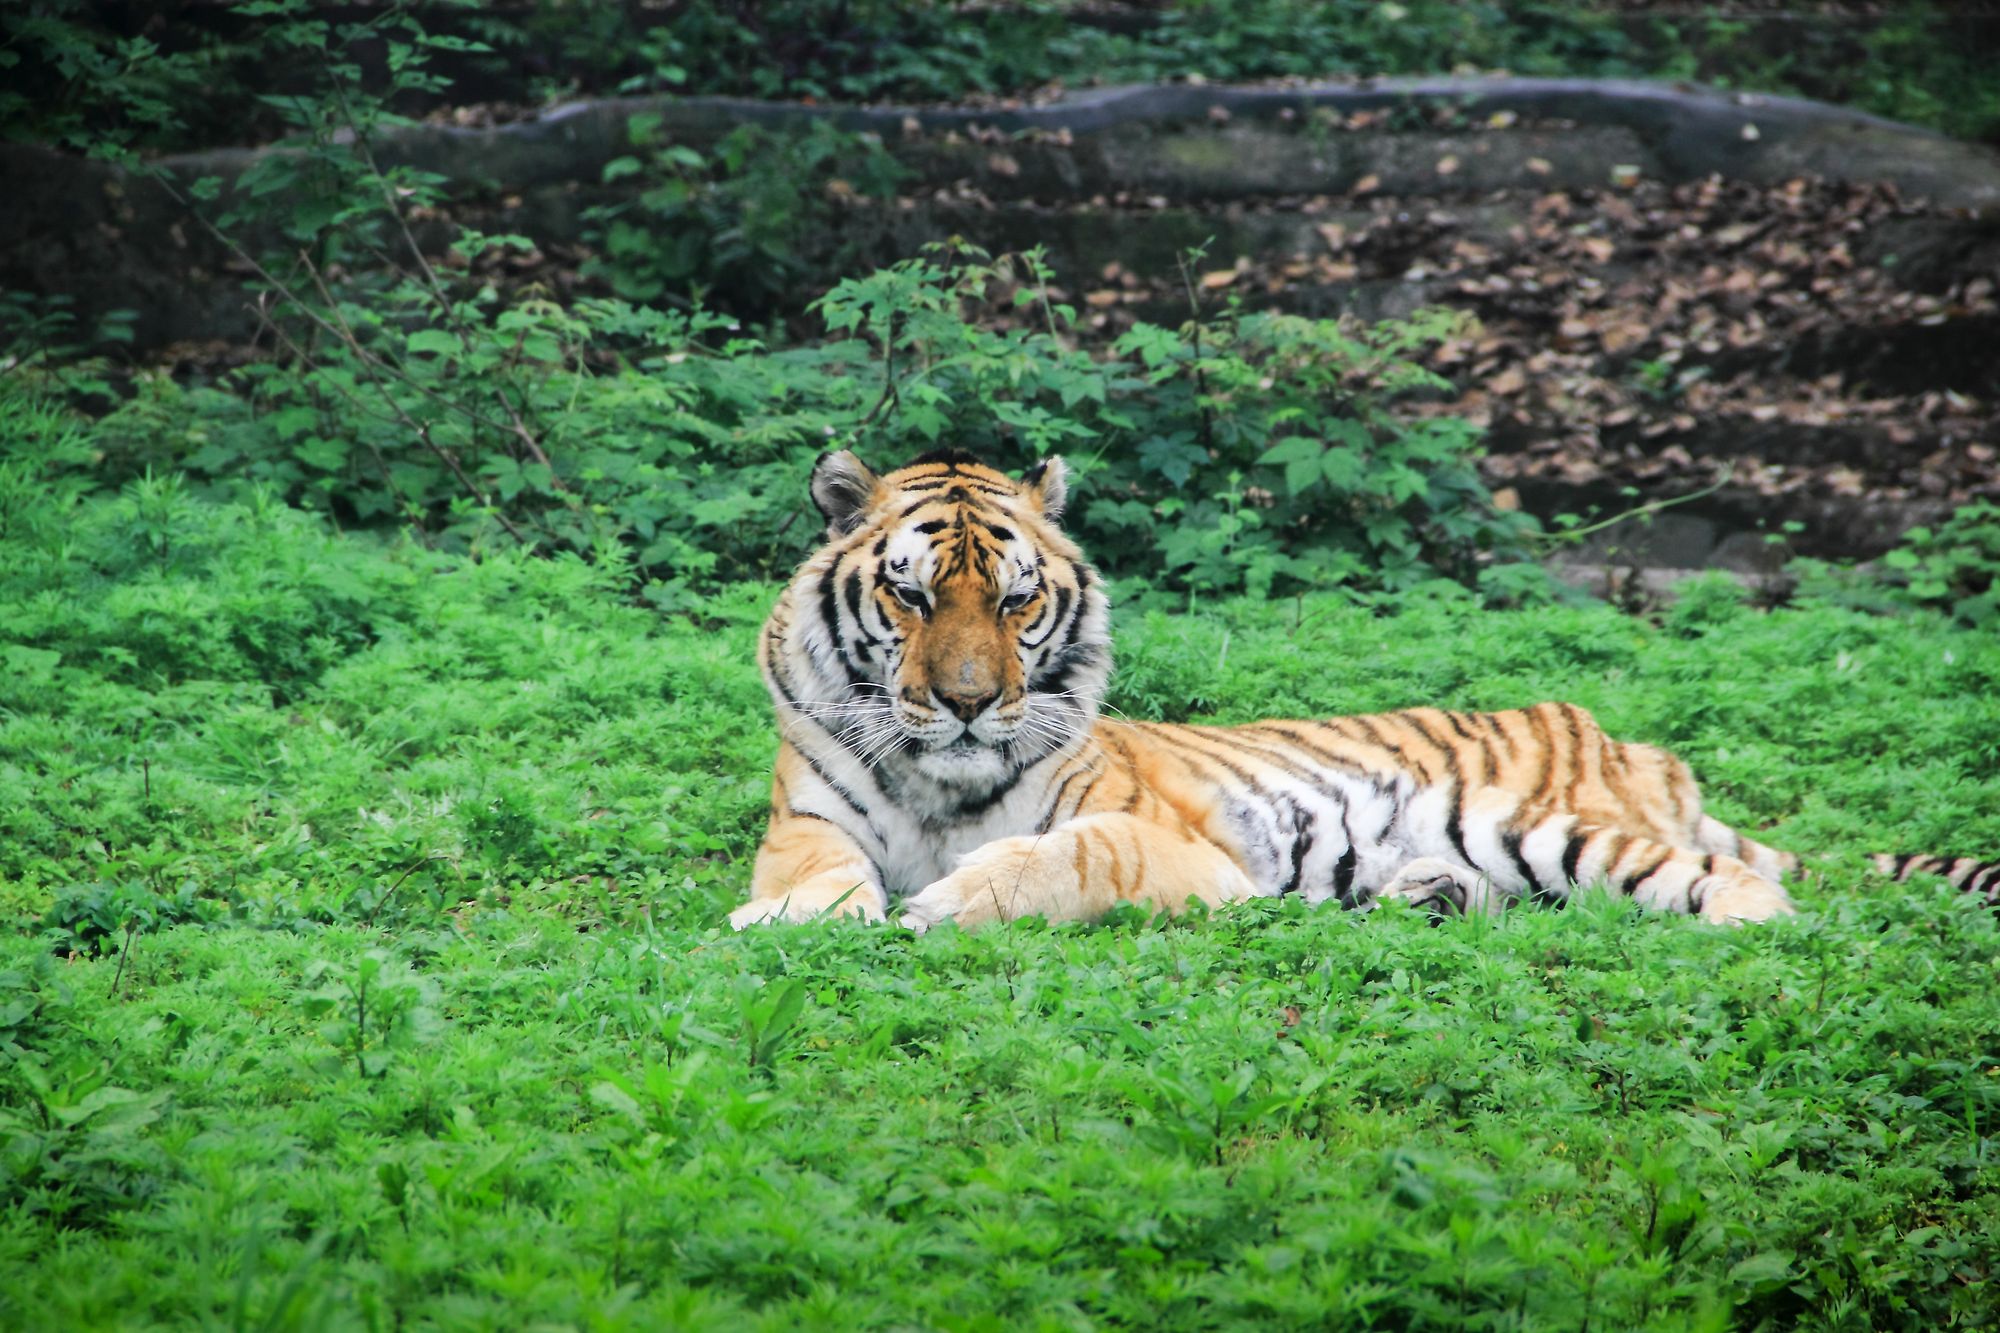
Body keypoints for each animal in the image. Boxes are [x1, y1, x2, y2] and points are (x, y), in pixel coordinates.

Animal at [732, 452, 2000, 928]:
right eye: (908, 597)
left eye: (1011, 602)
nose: (963, 704)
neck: (938, 780)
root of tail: (1635, 747)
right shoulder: (808, 822)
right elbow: (816, 879)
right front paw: (792, 920)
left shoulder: (1175, 848)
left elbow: (1063, 854)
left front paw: (947, 901)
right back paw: (1419, 899)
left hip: (1549, 826)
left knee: (1741, 890)